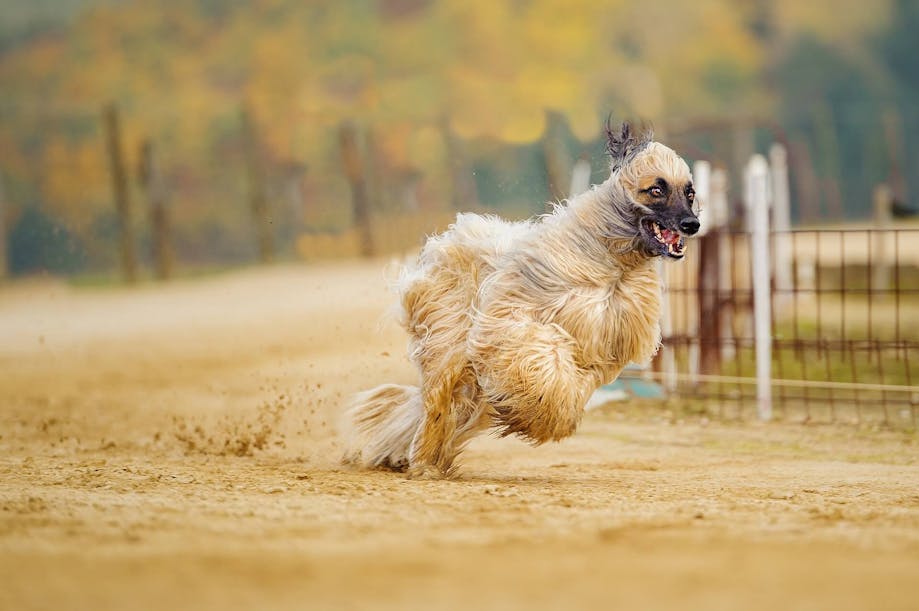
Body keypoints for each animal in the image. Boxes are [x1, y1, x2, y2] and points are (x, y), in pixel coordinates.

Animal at [344, 123, 696, 478]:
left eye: (690, 192)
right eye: (656, 189)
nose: (692, 224)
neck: (613, 261)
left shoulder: (603, 345)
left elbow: (577, 380)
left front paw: (544, 414)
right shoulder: (511, 320)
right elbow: (544, 356)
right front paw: (540, 414)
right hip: (447, 339)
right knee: (438, 402)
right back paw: (425, 461)